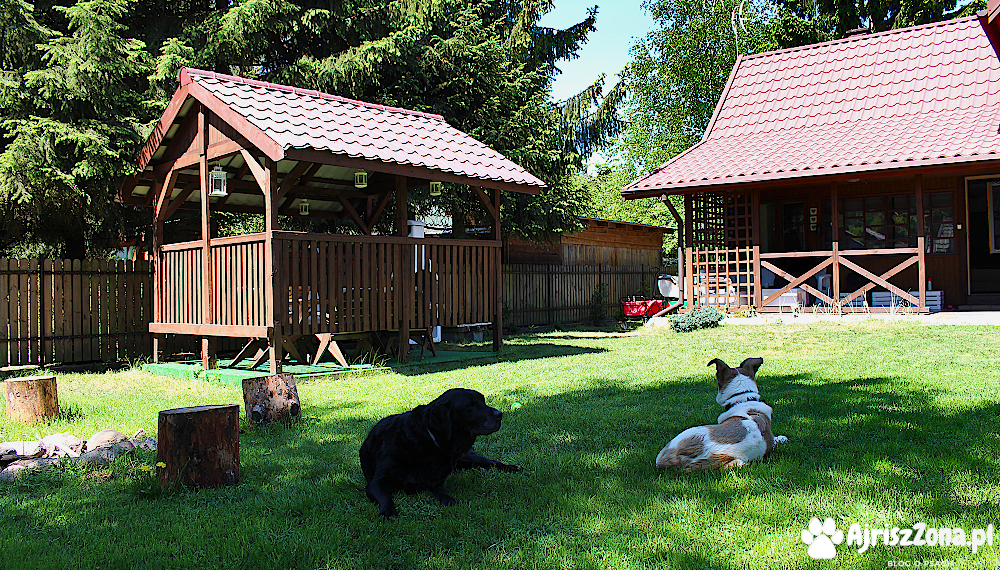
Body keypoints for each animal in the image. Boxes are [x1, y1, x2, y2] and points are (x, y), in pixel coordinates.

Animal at [360, 386, 520, 516]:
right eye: (470, 405)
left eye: (484, 401)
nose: (500, 414)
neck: (426, 439)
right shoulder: (377, 481)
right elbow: (385, 497)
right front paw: (388, 511)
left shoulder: (436, 479)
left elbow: (440, 491)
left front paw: (448, 500)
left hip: (469, 457)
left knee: (490, 462)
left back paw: (511, 467)